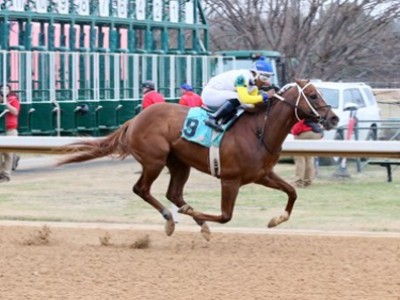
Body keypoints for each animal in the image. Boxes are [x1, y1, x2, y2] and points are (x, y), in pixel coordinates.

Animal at [57, 79, 338, 239]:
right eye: (314, 95)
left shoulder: (263, 175)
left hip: (180, 163)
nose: (333, 118)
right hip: (155, 160)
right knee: (142, 189)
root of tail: (135, 119)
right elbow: (225, 216)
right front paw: (193, 214)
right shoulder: (230, 180)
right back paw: (172, 219)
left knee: (173, 193)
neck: (260, 129)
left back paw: (188, 219)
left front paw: (275, 220)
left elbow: (292, 192)